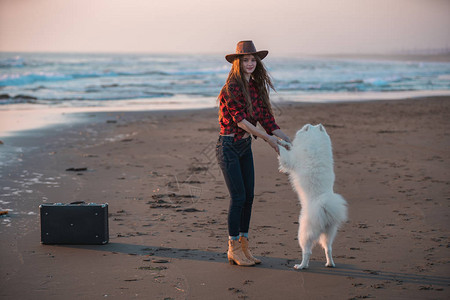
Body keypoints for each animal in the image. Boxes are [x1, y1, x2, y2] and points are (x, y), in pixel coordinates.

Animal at [278, 124, 348, 270]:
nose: (308, 125)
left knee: (307, 251)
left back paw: (301, 266)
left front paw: (278, 142)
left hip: (304, 233)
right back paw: (330, 263)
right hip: (329, 233)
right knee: (328, 248)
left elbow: (284, 155)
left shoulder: (291, 160)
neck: (315, 141)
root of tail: (324, 207)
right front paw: (285, 142)